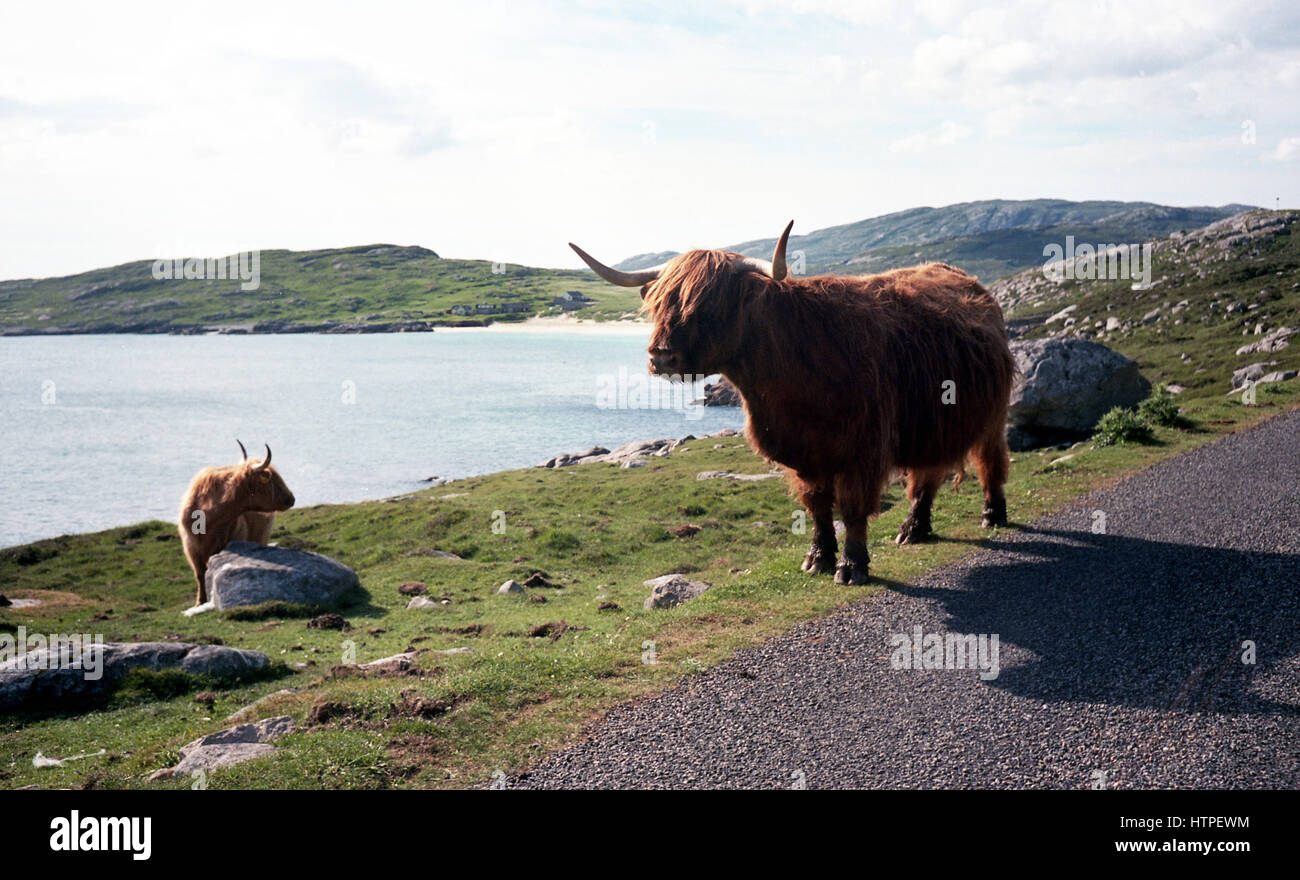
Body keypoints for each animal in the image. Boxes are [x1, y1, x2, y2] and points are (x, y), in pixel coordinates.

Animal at [574, 223, 1019, 582]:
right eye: (660, 303)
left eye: (709, 304)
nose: (660, 356)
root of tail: (970, 283)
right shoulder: (803, 453)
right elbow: (818, 507)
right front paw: (818, 560)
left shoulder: (863, 448)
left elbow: (852, 509)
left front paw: (852, 567)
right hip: (936, 422)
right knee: (926, 475)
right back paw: (914, 529)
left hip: (992, 415)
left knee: (990, 461)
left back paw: (992, 515)